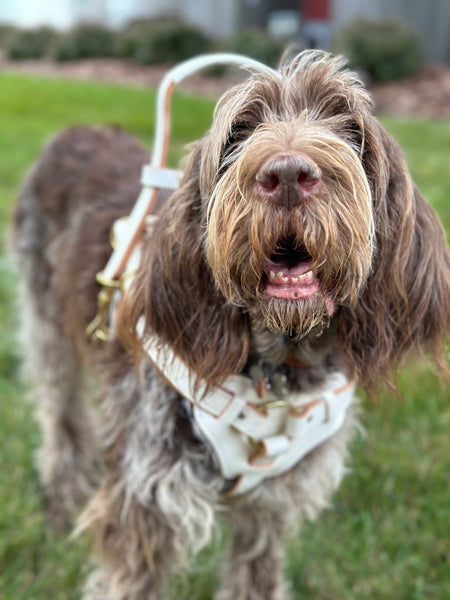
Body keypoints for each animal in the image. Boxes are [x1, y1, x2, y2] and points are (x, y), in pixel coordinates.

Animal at [12, 52, 448, 600]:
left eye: (349, 125)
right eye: (240, 130)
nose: (288, 175)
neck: (277, 367)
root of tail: (78, 130)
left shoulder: (270, 508)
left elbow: (255, 573)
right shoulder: (147, 504)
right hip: (46, 324)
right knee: (62, 414)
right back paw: (63, 495)